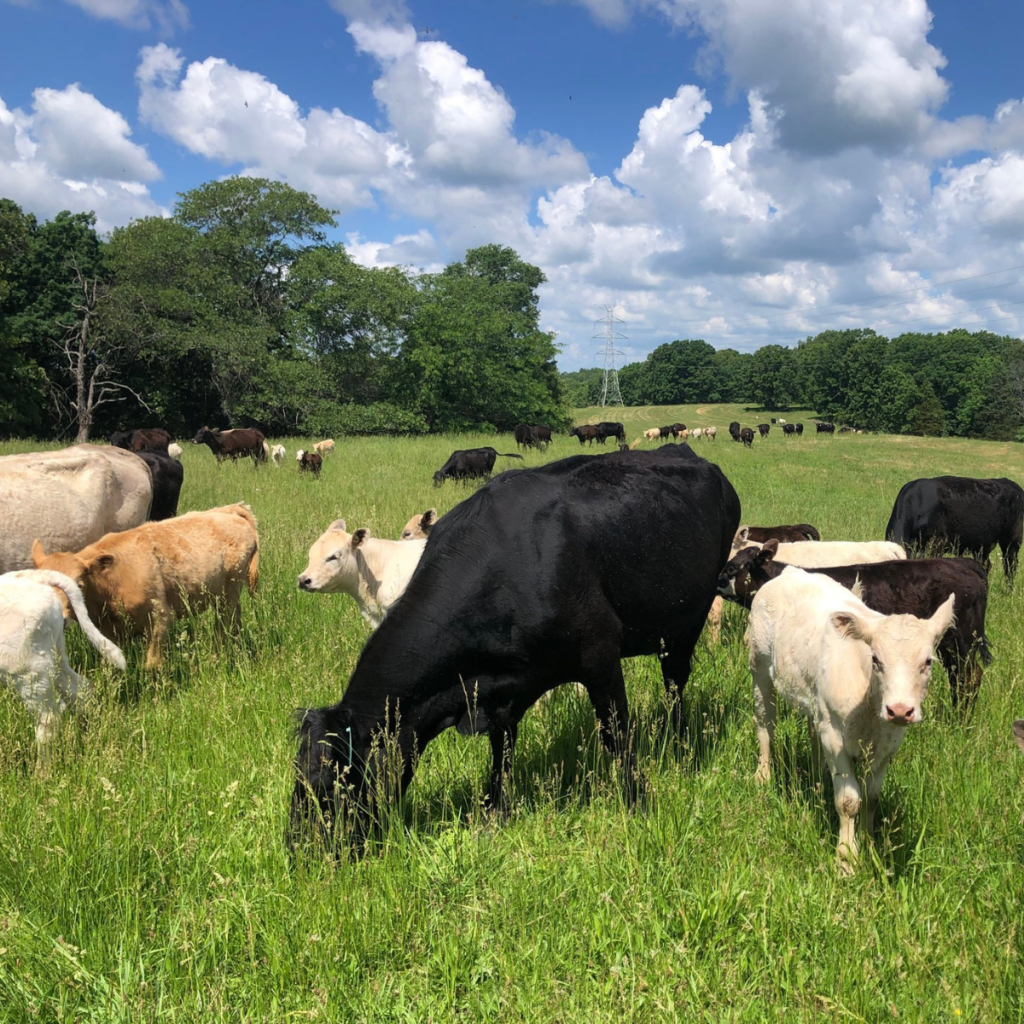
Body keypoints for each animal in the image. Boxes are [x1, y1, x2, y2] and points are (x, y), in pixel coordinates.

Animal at [0, 569, 126, 759]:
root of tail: (35, 577)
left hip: (28, 671)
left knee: (48, 718)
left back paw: (43, 766)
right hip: (56, 656)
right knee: (80, 689)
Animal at [32, 504, 259, 670]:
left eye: (78, 585)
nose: (57, 618)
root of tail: (229, 510)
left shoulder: (159, 617)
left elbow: (152, 665)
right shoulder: (109, 630)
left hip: (229, 592)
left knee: (223, 626)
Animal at [749, 567, 954, 871]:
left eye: (928, 661)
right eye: (876, 659)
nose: (900, 710)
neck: (870, 709)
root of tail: (791, 571)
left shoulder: (888, 744)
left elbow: (871, 797)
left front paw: (870, 846)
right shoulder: (835, 736)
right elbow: (848, 800)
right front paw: (846, 858)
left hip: (815, 699)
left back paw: (817, 774)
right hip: (759, 666)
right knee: (766, 723)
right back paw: (763, 774)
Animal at [885, 476, 1024, 583]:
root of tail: (1009, 482)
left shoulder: (936, 546)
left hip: (1012, 540)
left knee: (1010, 565)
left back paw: (1008, 590)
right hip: (981, 545)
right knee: (986, 565)